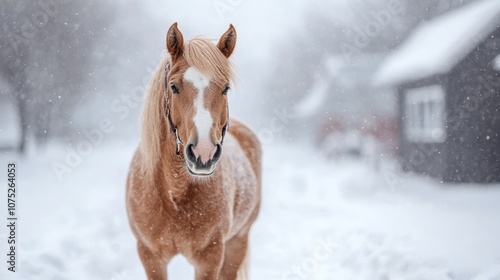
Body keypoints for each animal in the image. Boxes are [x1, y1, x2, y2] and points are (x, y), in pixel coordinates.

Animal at [125, 22, 262, 280]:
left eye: (225, 88)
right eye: (174, 86)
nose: (203, 154)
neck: (174, 193)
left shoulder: (210, 258)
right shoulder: (150, 256)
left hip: (237, 243)